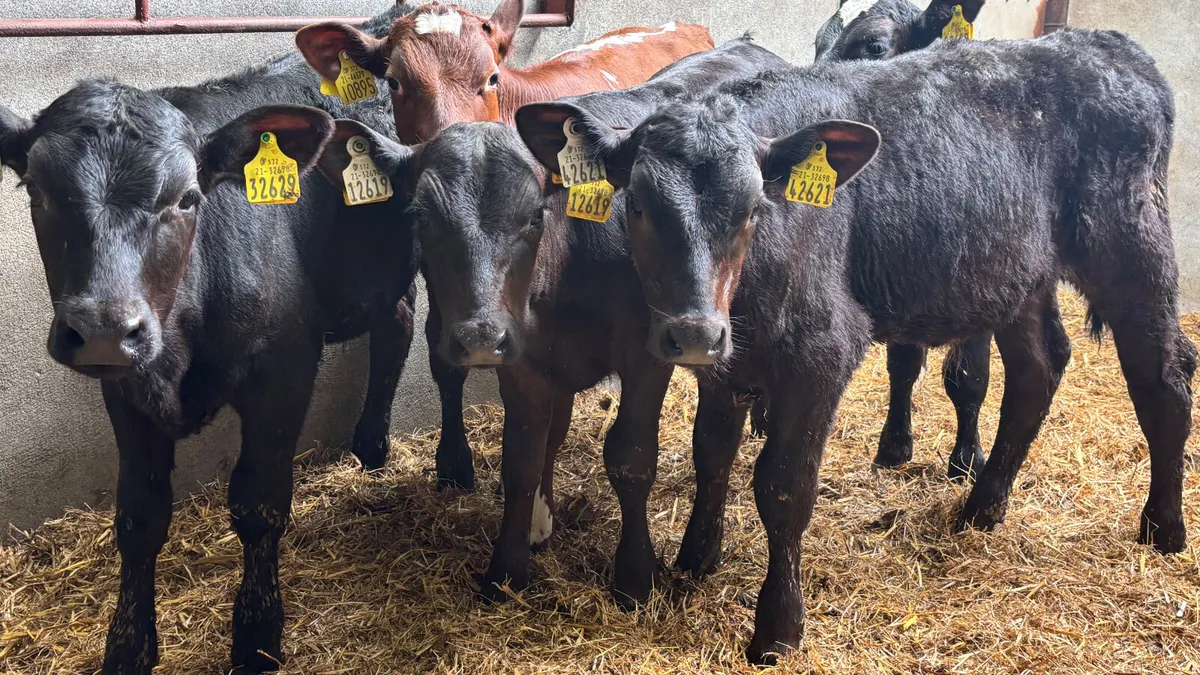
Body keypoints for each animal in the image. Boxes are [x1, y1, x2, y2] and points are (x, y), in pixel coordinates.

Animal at [0, 4, 437, 673]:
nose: (103, 328)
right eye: (37, 191)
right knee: (396, 323)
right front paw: (128, 646)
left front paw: (258, 636)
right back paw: (371, 450)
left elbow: (259, 505)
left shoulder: (284, 373)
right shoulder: (125, 390)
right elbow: (139, 517)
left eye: (187, 198)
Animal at [313, 37, 789, 609]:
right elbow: (521, 459)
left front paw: (635, 577)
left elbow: (632, 457)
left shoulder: (648, 355)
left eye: (535, 215)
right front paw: (508, 568)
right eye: (421, 215)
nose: (479, 336)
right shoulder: (521, 361)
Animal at [515, 29, 1194, 664]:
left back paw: (1163, 527)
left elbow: (784, 486)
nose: (694, 332)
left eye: (753, 209)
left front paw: (778, 628)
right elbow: (712, 454)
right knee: (1039, 369)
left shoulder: (822, 352)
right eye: (636, 205)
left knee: (1163, 377)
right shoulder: (726, 363)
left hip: (1131, 243)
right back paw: (982, 507)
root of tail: (1107, 45)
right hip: (1019, 274)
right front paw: (694, 558)